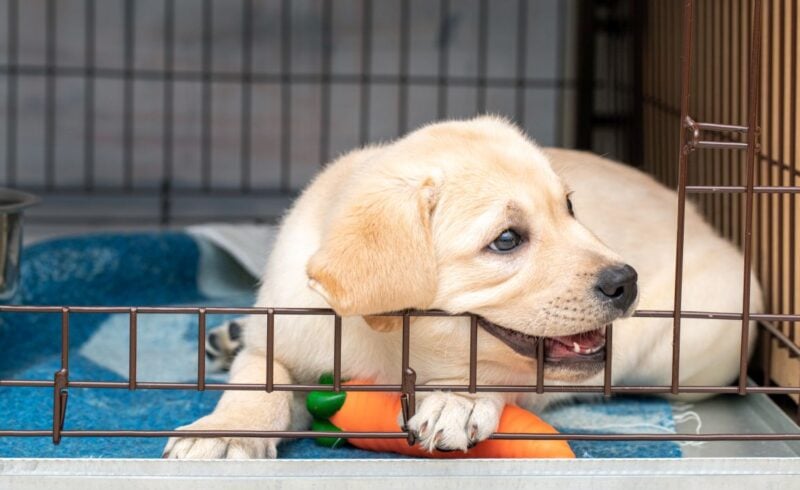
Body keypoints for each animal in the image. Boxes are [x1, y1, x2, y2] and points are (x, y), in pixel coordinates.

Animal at [164, 116, 764, 460]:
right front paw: (225, 431)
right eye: (507, 240)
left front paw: (459, 399)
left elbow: (495, 371)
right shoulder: (285, 331)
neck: (390, 347)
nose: (627, 281)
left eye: (570, 208)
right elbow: (258, 380)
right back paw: (228, 335)